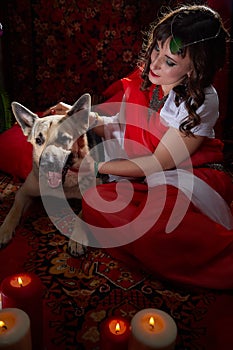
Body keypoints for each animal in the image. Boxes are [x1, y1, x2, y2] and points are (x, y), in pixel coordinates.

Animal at [0, 94, 95, 256]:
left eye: (64, 139)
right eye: (38, 140)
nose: (48, 163)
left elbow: (82, 214)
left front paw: (77, 238)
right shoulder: (23, 192)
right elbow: (14, 209)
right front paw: (4, 229)